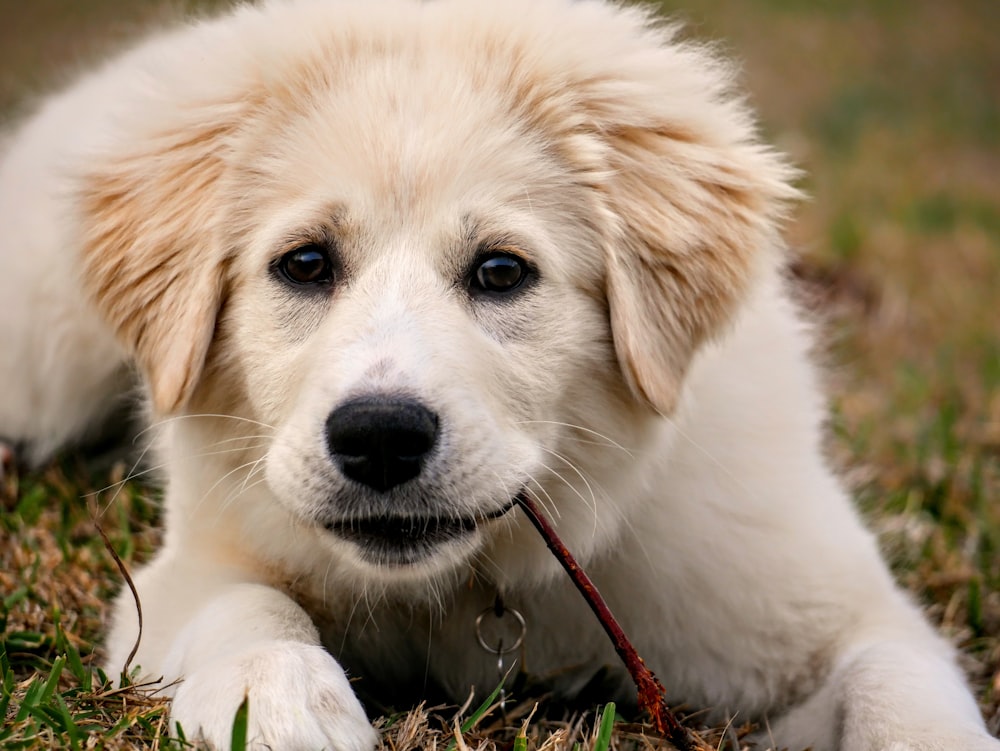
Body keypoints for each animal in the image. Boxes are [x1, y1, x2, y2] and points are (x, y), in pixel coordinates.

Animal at [1, 1, 1000, 751]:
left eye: (500, 272)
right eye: (306, 264)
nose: (379, 436)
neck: (478, 579)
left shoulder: (842, 614)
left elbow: (902, 696)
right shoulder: (184, 574)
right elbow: (248, 608)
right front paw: (281, 705)